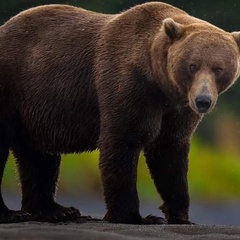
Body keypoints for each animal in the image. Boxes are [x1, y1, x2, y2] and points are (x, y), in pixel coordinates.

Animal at [0, 1, 239, 223]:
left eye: (219, 69)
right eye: (192, 66)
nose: (203, 101)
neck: (160, 84)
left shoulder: (177, 110)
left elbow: (170, 153)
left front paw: (179, 214)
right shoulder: (127, 85)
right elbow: (122, 143)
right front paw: (135, 216)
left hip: (35, 107)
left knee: (38, 156)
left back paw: (55, 210)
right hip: (12, 83)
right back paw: (13, 213)